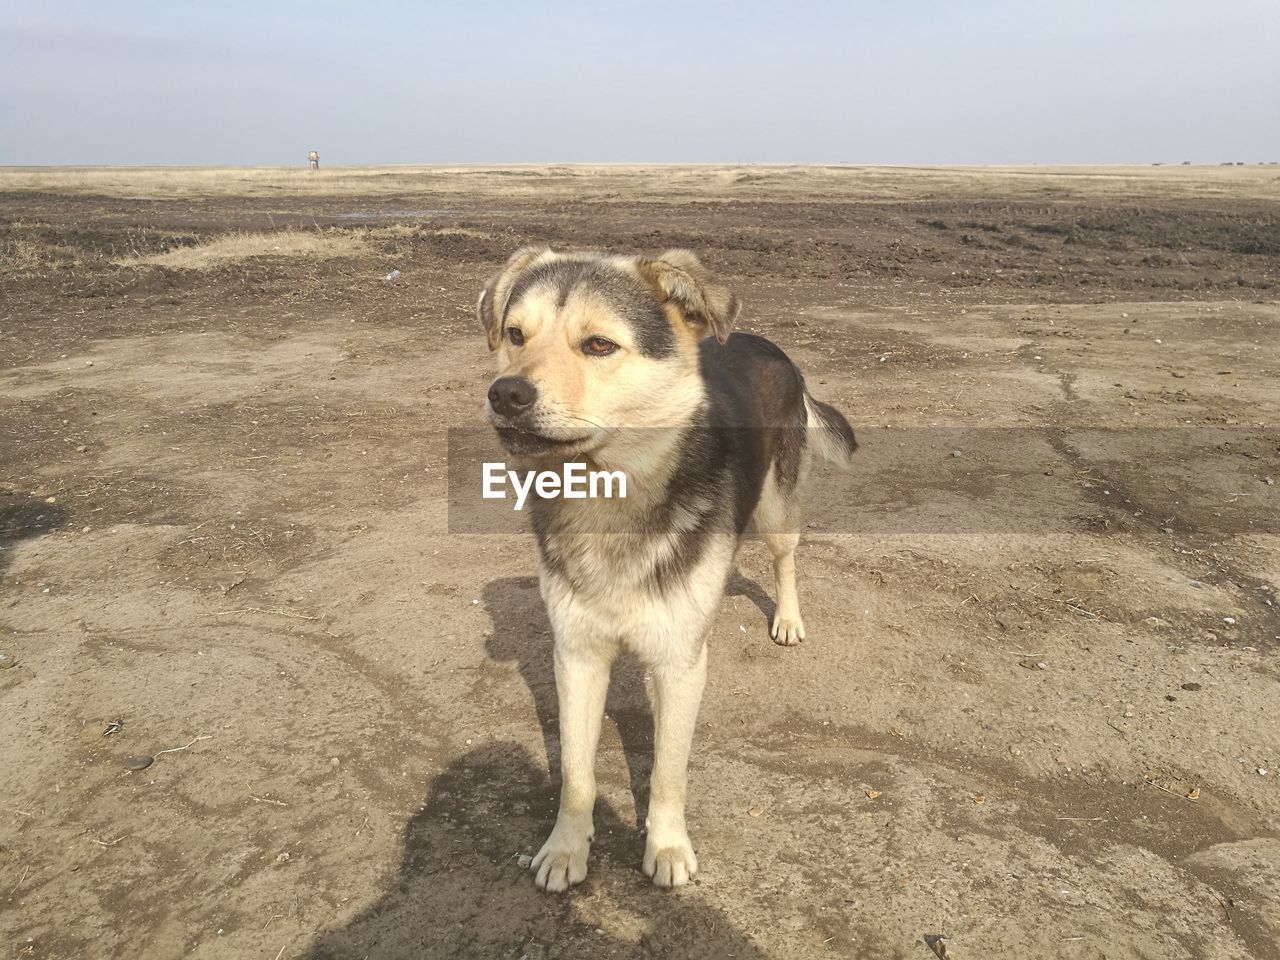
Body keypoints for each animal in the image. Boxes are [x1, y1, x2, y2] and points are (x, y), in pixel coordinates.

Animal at [476, 248, 855, 896]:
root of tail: (766, 343)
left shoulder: (680, 663)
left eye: (599, 345)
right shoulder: (576, 654)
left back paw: (786, 617)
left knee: (784, 558)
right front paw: (566, 847)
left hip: (776, 509)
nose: (505, 394)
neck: (607, 496)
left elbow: (669, 770)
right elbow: (576, 769)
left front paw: (668, 846)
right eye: (516, 335)